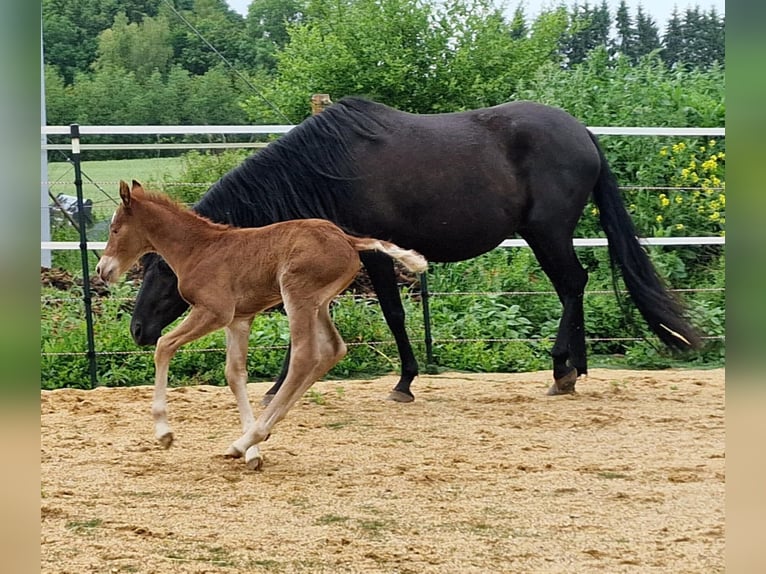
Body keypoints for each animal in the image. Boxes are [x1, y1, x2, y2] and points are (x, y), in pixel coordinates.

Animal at [96, 180, 427, 470]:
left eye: (115, 229)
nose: (102, 270)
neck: (200, 249)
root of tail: (348, 239)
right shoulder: (239, 319)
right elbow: (234, 374)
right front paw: (254, 454)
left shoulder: (215, 312)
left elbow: (164, 346)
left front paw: (164, 433)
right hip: (318, 304)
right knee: (333, 350)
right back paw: (256, 435)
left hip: (297, 295)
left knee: (306, 357)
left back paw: (243, 441)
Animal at [130, 97, 700, 400]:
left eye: (164, 274)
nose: (137, 331)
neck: (325, 170)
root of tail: (580, 130)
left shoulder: (374, 256)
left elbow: (393, 315)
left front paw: (403, 381)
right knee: (571, 288)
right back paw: (575, 371)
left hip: (548, 232)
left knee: (572, 285)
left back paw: (562, 369)